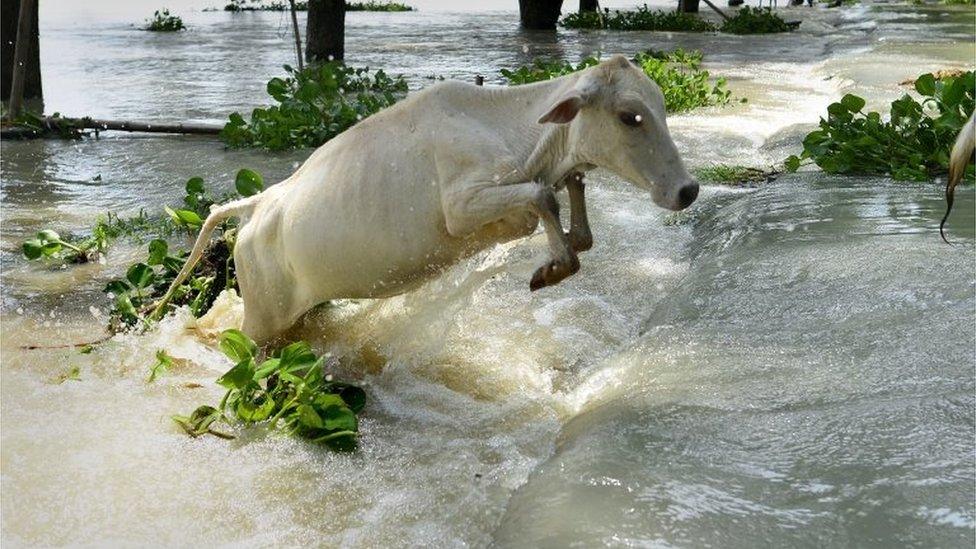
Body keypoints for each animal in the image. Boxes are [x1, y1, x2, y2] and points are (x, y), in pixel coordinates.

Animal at [152, 53, 696, 340]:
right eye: (630, 116)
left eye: (660, 106)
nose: (688, 190)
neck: (513, 132)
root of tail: (257, 205)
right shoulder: (461, 207)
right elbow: (545, 197)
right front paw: (553, 268)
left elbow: (570, 201)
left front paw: (562, 253)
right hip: (260, 319)